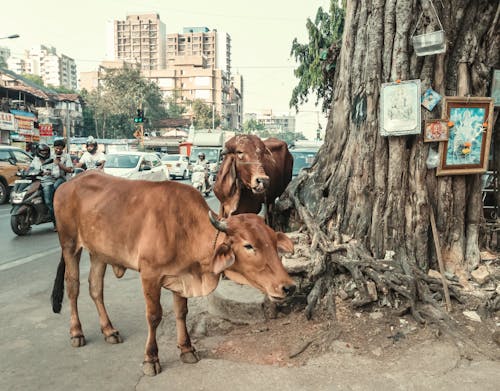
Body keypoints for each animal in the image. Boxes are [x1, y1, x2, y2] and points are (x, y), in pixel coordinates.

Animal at [50, 172, 294, 376]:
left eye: (273, 242)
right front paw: (151, 358)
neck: (185, 229)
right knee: (73, 288)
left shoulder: (182, 276)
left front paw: (187, 349)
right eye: (248, 245)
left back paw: (109, 330)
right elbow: (154, 316)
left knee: (95, 288)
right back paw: (76, 333)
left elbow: (181, 312)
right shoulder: (149, 275)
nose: (288, 287)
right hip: (70, 245)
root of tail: (68, 183)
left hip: (99, 254)